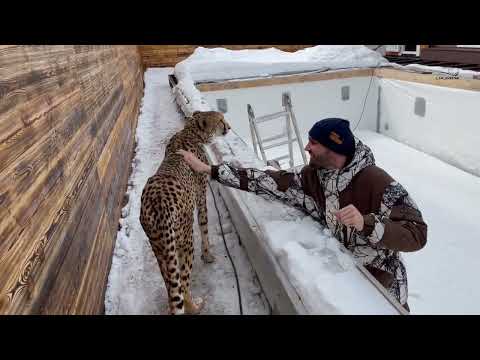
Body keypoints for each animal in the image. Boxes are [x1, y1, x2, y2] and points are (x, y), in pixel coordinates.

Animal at [139, 111, 231, 314]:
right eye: (220, 120)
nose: (229, 127)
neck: (190, 130)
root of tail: (157, 202)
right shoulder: (201, 195)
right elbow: (204, 226)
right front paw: (208, 255)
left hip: (160, 249)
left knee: (171, 286)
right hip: (185, 240)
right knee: (182, 281)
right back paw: (195, 305)